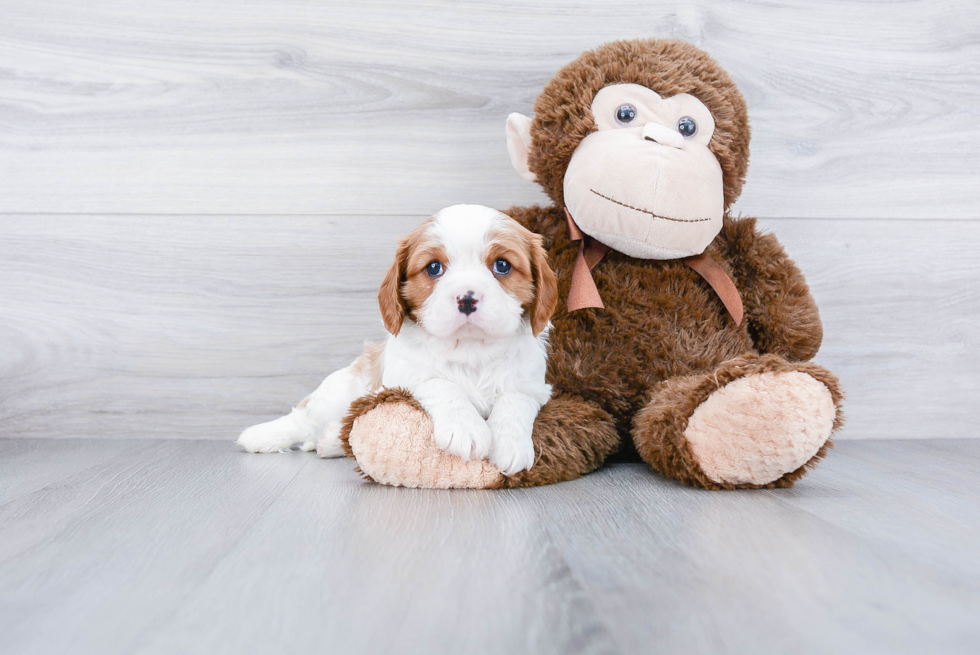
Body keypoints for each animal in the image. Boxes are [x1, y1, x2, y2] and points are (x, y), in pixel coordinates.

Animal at [235, 204, 560, 472]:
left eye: (502, 265)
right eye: (434, 267)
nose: (467, 299)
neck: (470, 350)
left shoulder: (532, 385)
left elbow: (514, 400)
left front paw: (510, 445)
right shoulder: (403, 376)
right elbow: (440, 383)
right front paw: (466, 428)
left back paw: (330, 441)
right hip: (339, 391)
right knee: (304, 417)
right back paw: (261, 436)